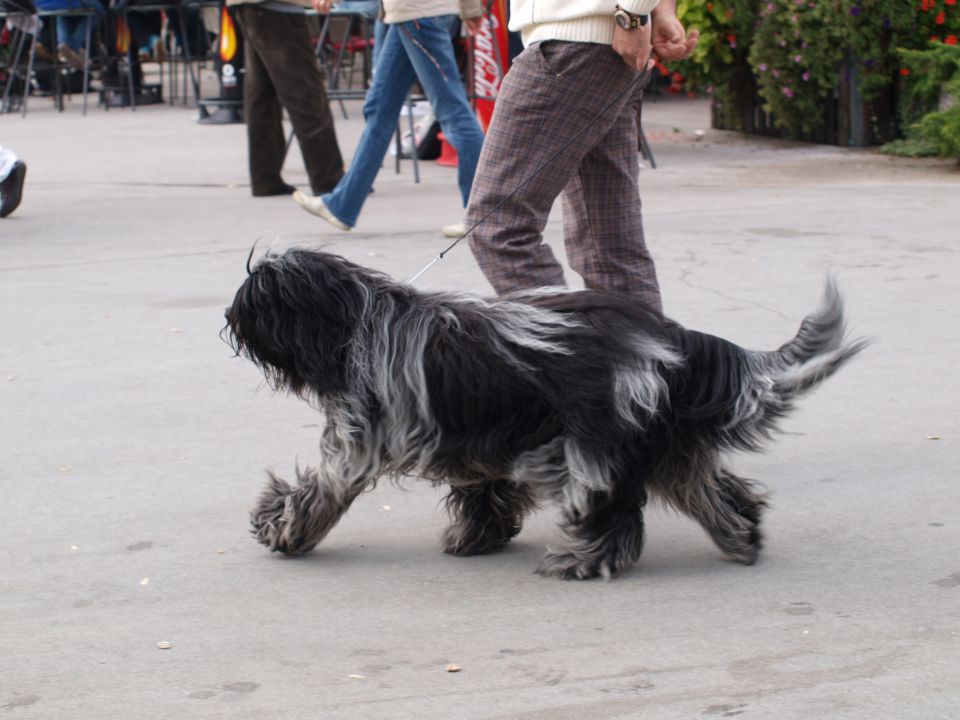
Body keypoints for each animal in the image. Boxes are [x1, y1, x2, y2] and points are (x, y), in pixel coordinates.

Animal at [223, 248, 864, 580]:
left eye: (259, 297)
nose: (229, 316)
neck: (359, 319)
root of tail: (670, 335)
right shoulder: (480, 442)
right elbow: (485, 492)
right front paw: (479, 536)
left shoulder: (357, 441)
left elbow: (317, 491)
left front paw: (279, 527)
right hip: (663, 442)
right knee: (716, 491)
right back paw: (742, 536)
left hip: (586, 447)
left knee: (612, 511)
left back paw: (584, 560)